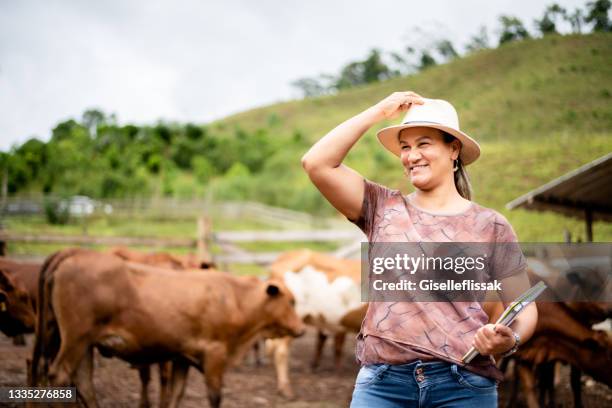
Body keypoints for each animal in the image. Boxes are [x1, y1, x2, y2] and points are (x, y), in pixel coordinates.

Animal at [31, 249, 304, 408]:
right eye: (291, 301)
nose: (301, 329)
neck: (235, 298)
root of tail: (70, 257)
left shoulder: (183, 356)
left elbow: (176, 394)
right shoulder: (214, 355)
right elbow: (214, 396)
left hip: (82, 343)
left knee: (83, 383)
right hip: (75, 339)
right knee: (60, 375)